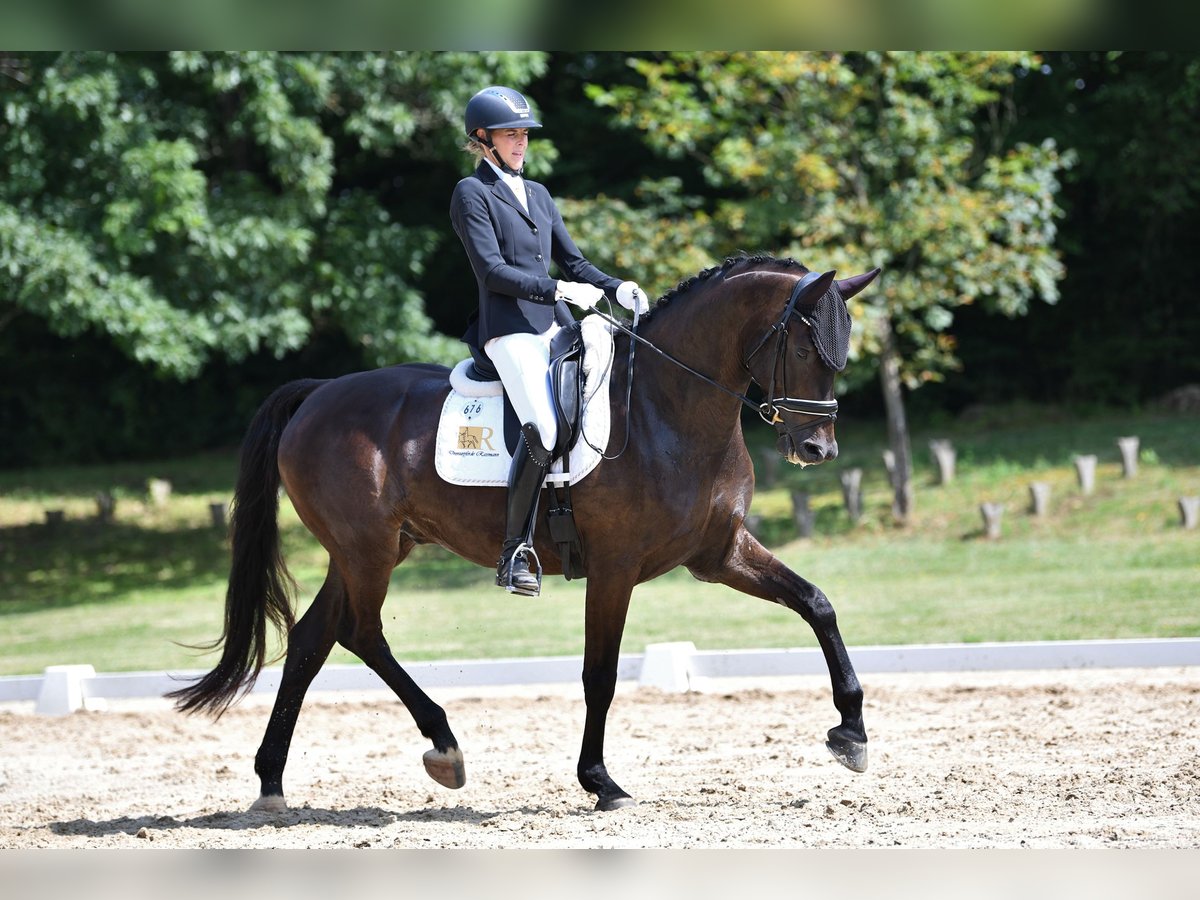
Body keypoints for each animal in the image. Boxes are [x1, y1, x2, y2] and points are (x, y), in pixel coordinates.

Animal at [169, 252, 883, 811]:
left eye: (841, 355)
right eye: (803, 348)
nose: (816, 450)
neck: (668, 406)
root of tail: (318, 393)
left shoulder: (720, 552)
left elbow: (816, 602)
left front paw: (851, 731)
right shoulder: (616, 568)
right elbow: (601, 674)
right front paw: (600, 782)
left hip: (375, 548)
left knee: (314, 638)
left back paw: (272, 783)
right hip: (365, 549)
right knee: (359, 633)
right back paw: (445, 748)